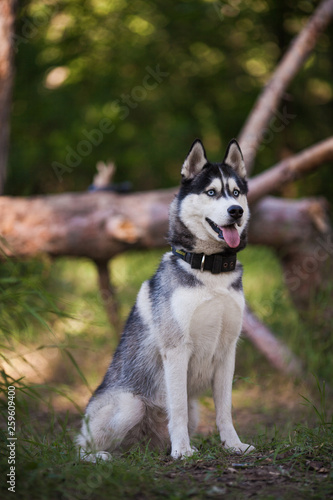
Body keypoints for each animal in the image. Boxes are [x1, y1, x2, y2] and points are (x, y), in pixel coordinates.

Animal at [78, 140, 253, 460]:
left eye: (236, 192)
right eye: (211, 192)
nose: (235, 211)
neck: (210, 271)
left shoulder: (227, 351)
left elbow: (225, 409)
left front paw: (234, 445)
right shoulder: (176, 349)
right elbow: (178, 408)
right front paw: (182, 450)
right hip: (130, 405)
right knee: (81, 446)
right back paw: (100, 457)